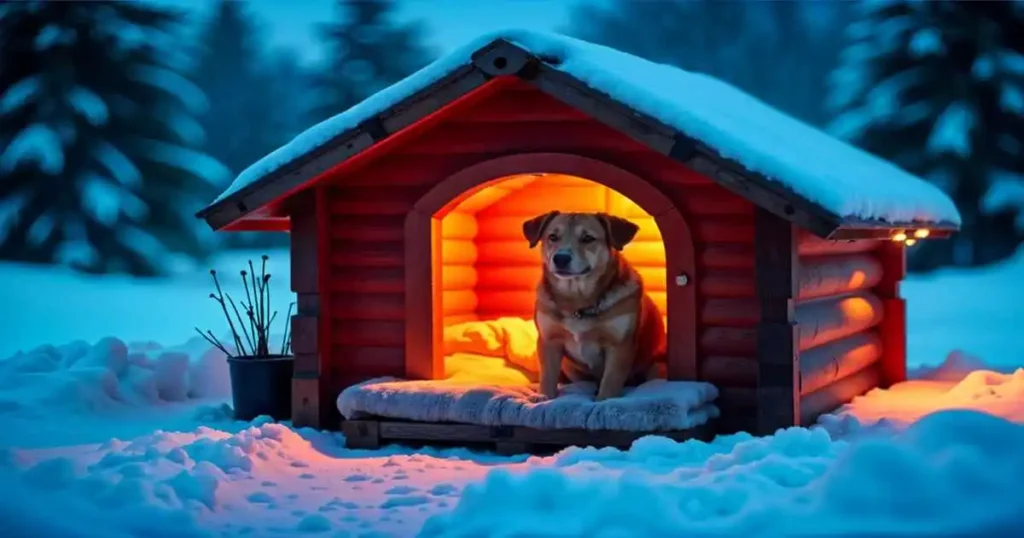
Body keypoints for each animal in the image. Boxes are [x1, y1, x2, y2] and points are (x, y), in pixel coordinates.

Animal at [524, 210, 667, 397]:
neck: (577, 300)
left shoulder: (619, 346)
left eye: (588, 238)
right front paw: (544, 398)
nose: (560, 258)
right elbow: (547, 379)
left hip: (658, 366)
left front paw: (604, 400)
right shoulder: (549, 341)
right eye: (553, 237)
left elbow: (610, 384)